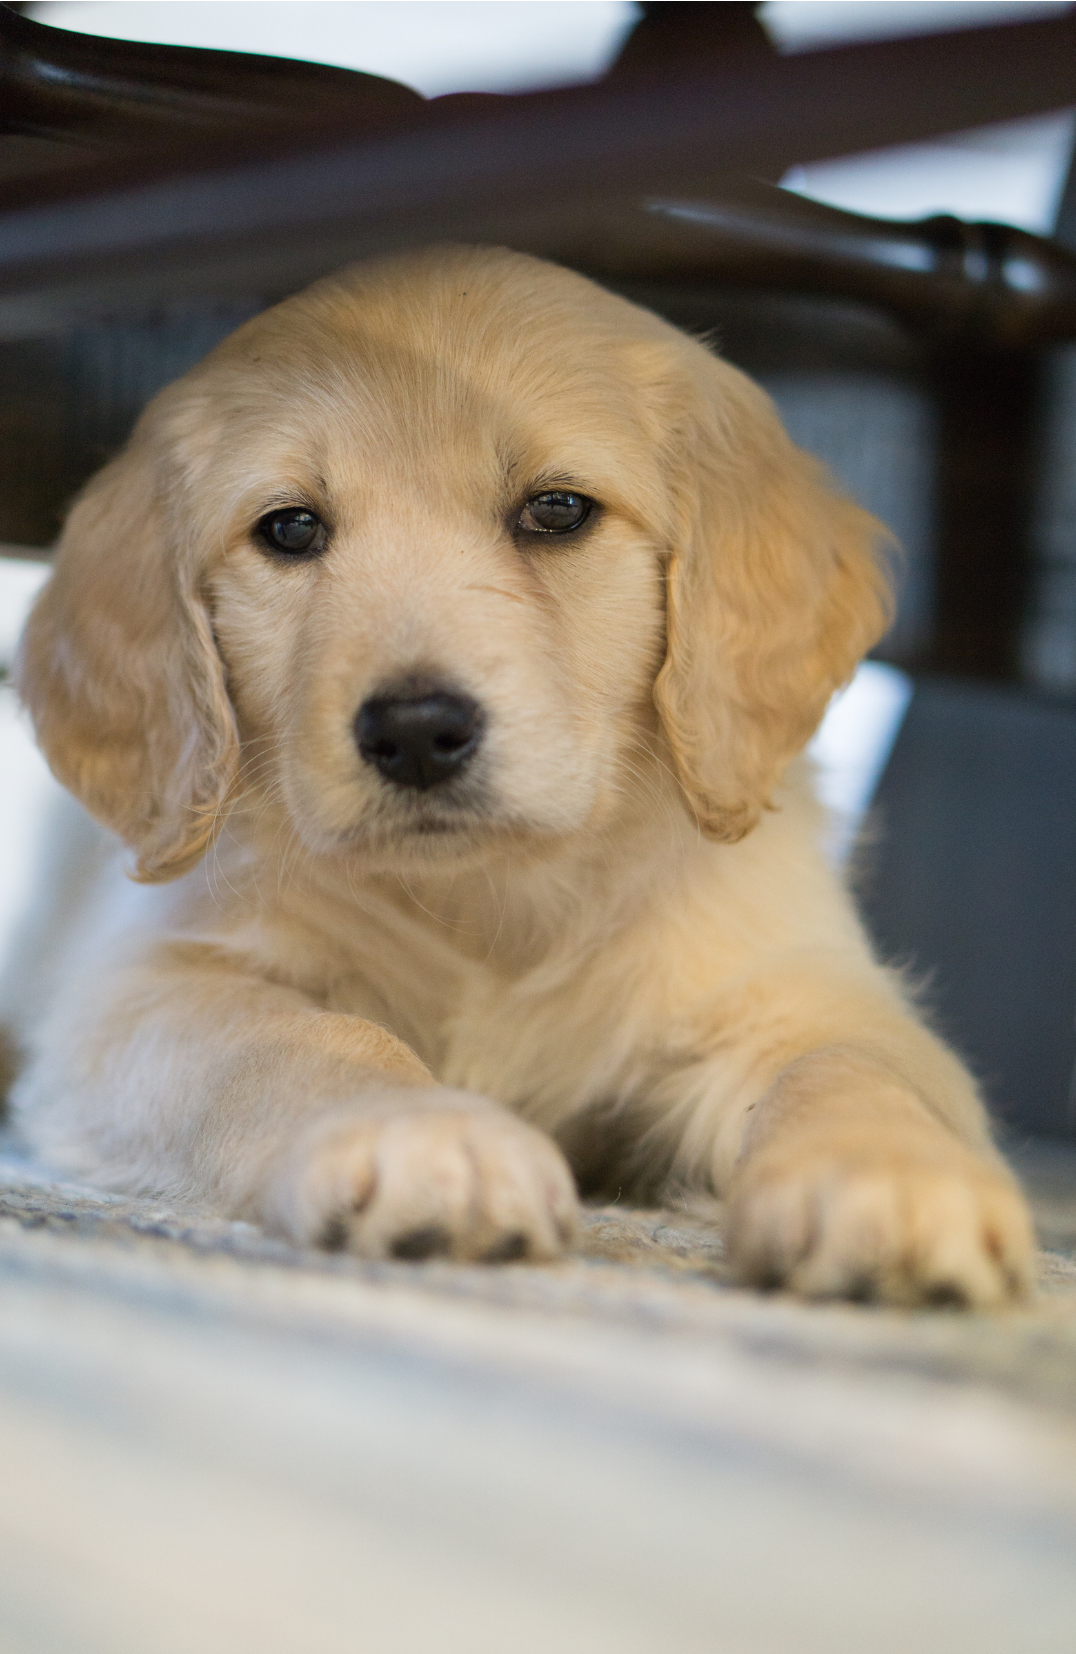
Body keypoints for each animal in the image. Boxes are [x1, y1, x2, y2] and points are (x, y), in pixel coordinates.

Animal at [8, 244, 1037, 1303]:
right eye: (289, 530)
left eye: (556, 510)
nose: (416, 732)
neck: (491, 900)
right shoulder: (144, 990)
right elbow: (305, 1036)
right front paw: (428, 1137)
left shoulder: (793, 983)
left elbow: (848, 1063)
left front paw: (886, 1172)